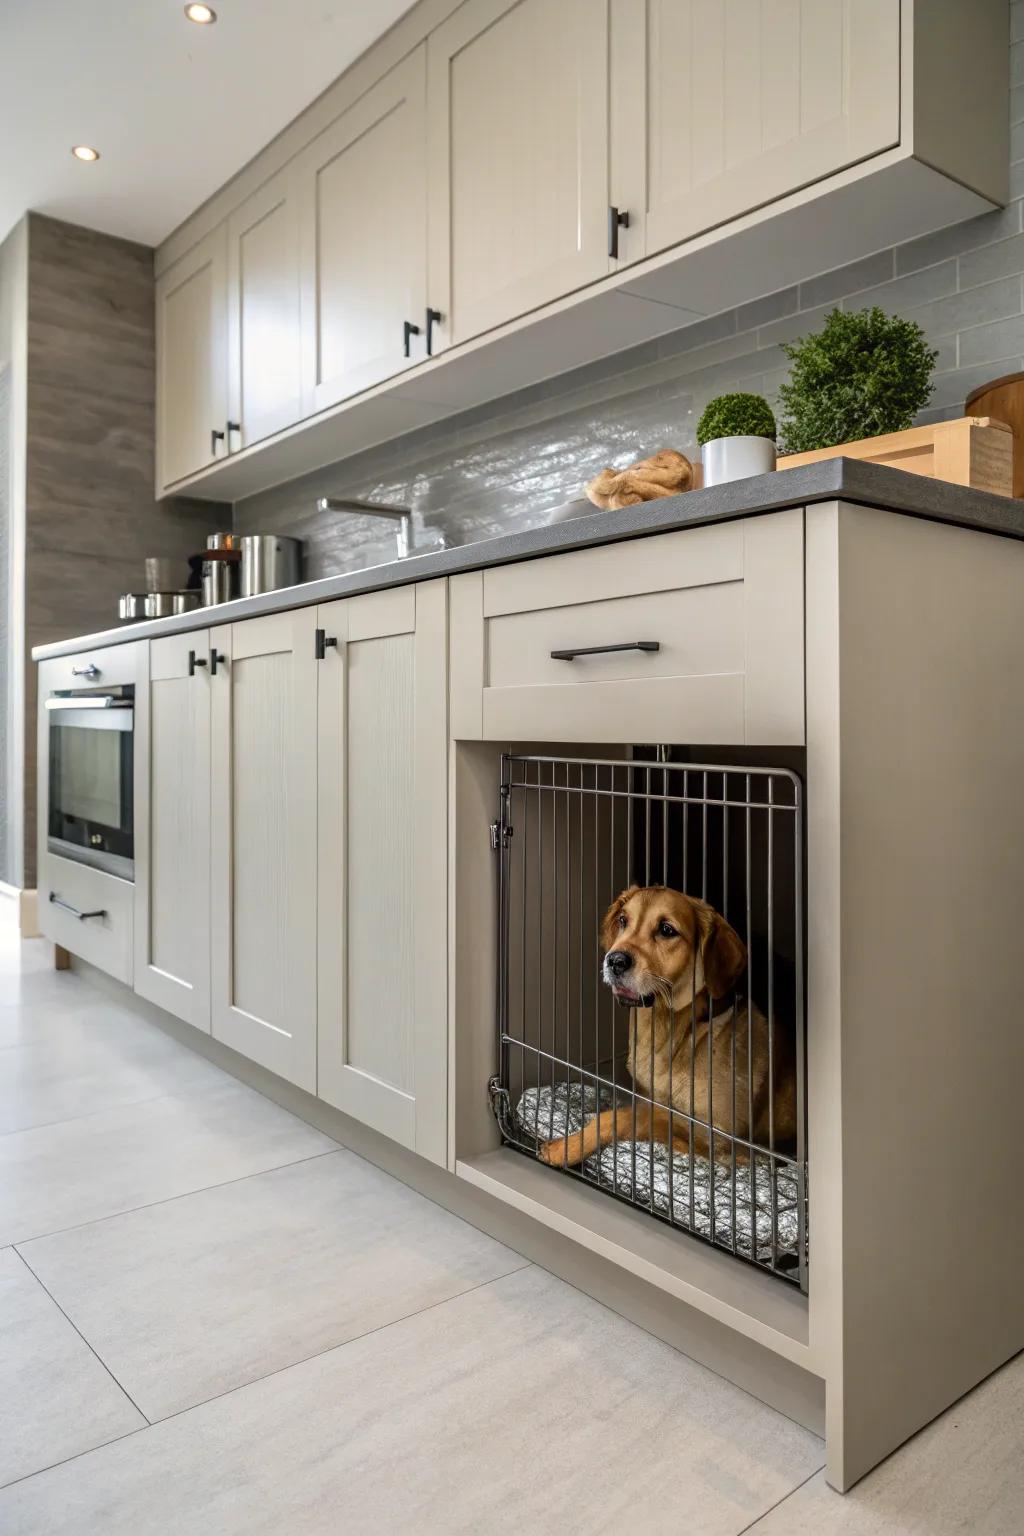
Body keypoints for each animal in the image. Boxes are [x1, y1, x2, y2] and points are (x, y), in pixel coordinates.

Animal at [537, 890, 798, 1161]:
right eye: (623, 920)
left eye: (666, 929)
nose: (615, 960)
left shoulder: (716, 1136)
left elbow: (623, 1116)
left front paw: (563, 1148)